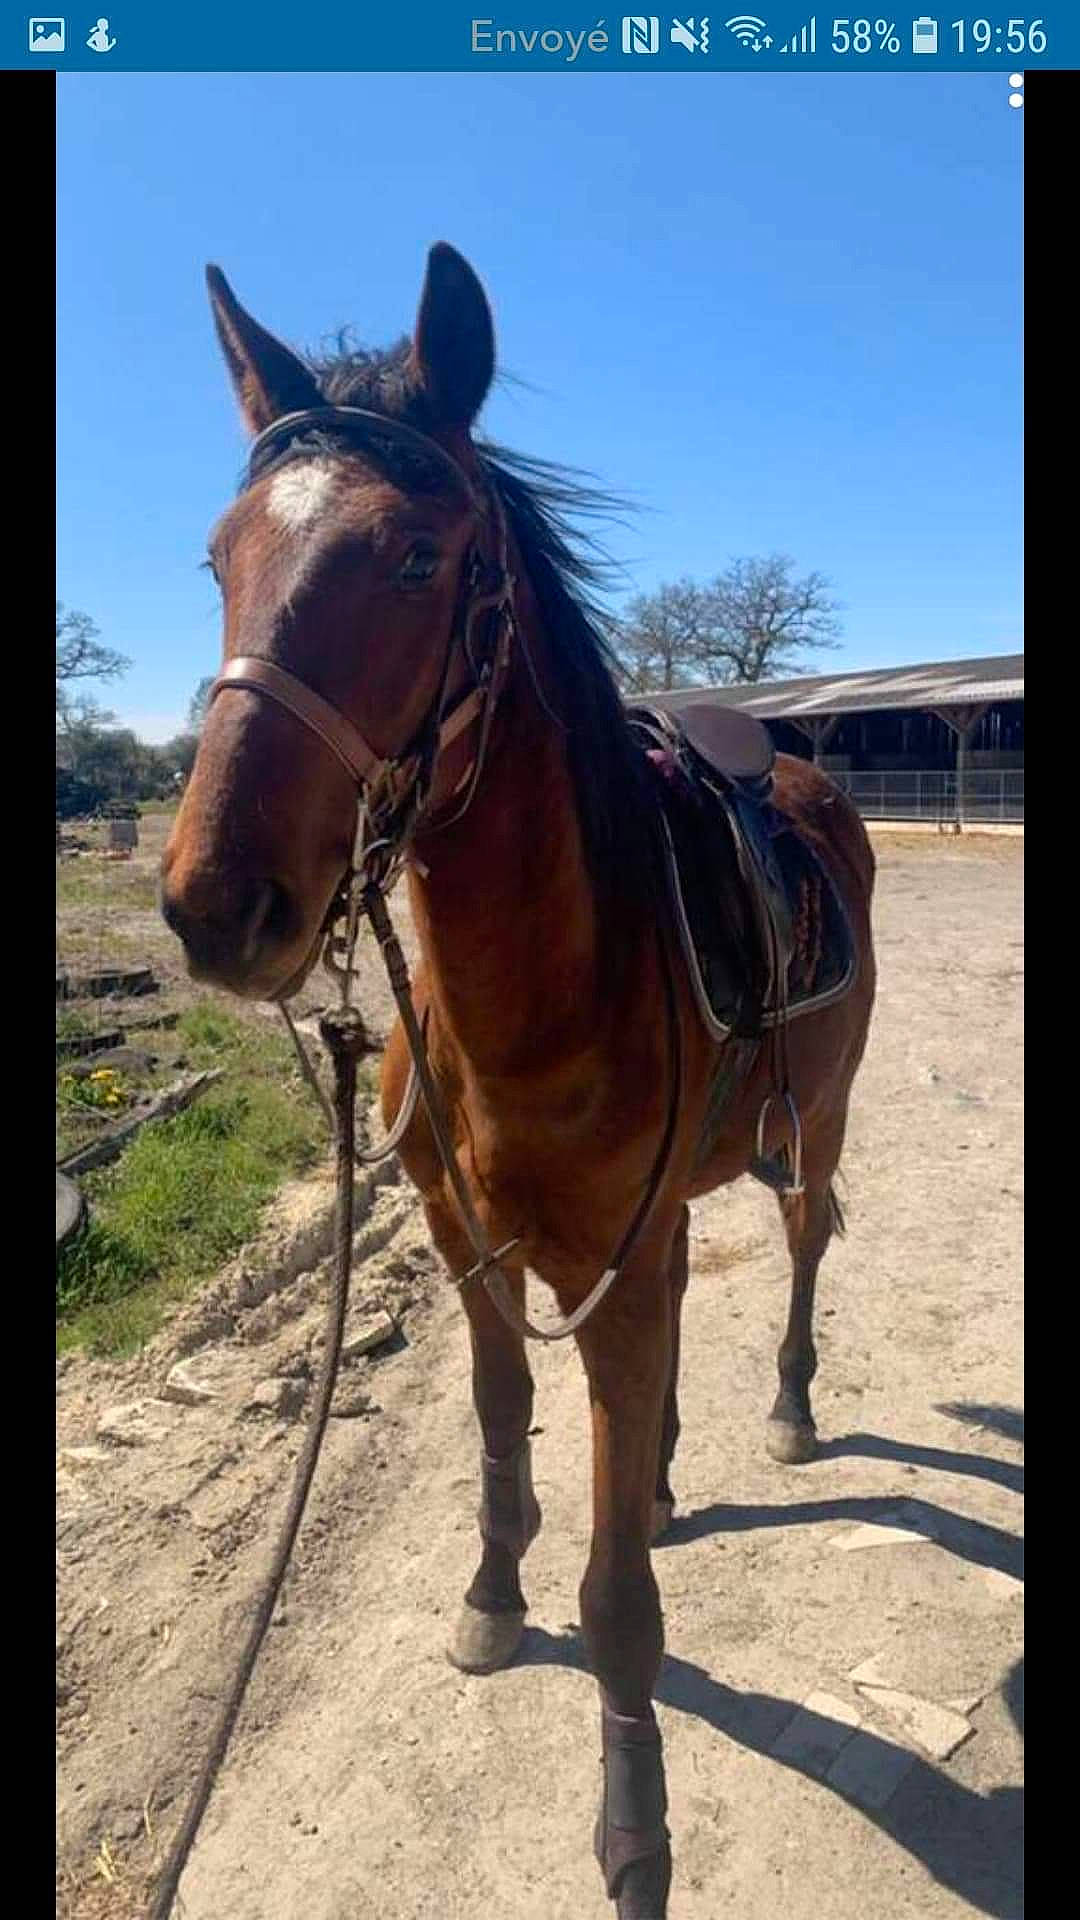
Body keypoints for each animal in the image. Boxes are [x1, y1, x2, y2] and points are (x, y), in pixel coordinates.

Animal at [161, 242, 876, 1919]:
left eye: (420, 558)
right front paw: (495, 1591)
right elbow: (501, 1431)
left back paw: (787, 1409)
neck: (537, 1005)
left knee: (805, 1247)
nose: (215, 906)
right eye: (220, 558)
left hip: (816, 1125)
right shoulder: (472, 1248)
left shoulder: (609, 1268)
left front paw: (635, 1836)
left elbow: (619, 1606)